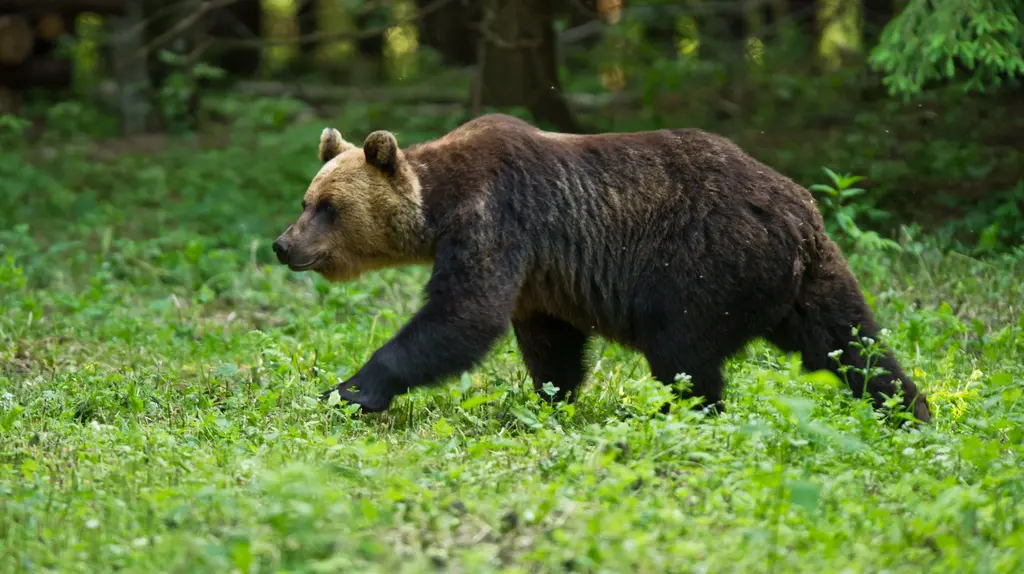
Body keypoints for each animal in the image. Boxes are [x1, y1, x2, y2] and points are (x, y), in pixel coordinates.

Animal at [271, 113, 932, 424]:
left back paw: (684, 416)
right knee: (853, 344)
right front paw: (550, 399)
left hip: (703, 262)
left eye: (328, 208)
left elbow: (461, 316)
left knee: (684, 354)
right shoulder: (538, 277)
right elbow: (550, 344)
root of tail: (797, 214)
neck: (440, 209)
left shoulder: (497, 222)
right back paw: (912, 412)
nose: (283, 245)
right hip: (810, 277)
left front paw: (350, 388)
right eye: (306, 201)